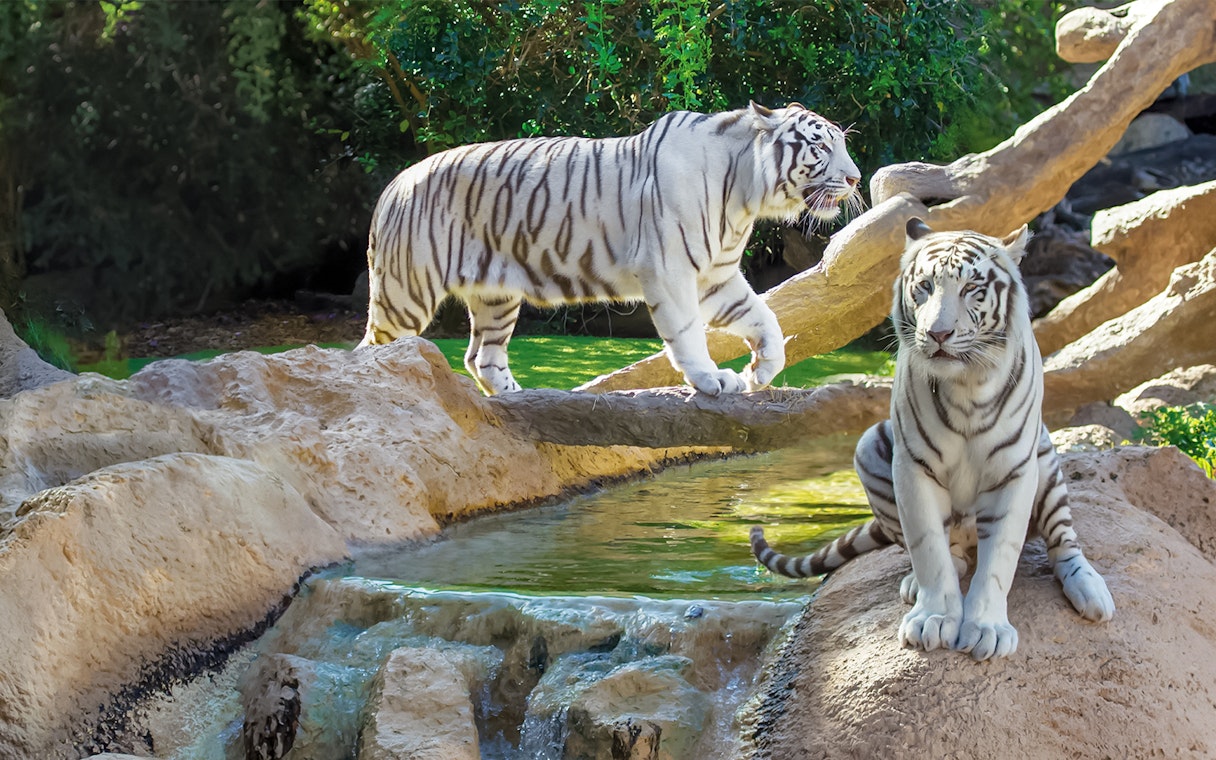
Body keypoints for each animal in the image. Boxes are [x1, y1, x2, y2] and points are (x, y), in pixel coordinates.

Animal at [357, 102, 862, 396]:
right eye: (820, 145)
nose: (856, 178)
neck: (746, 193)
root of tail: (394, 184)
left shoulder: (716, 278)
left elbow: (766, 318)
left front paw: (759, 371)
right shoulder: (672, 272)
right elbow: (688, 334)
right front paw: (713, 378)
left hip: (496, 295)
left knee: (481, 357)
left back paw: (523, 396)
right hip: (406, 294)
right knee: (370, 350)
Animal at [751, 218, 1115, 661]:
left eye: (972, 288)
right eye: (924, 286)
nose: (938, 334)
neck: (967, 386)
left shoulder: (1014, 469)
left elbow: (1001, 557)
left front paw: (987, 629)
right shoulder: (912, 466)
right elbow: (928, 548)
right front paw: (934, 619)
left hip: (1045, 461)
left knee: (1063, 541)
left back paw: (1091, 591)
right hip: (869, 447)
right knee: (948, 549)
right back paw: (919, 581)